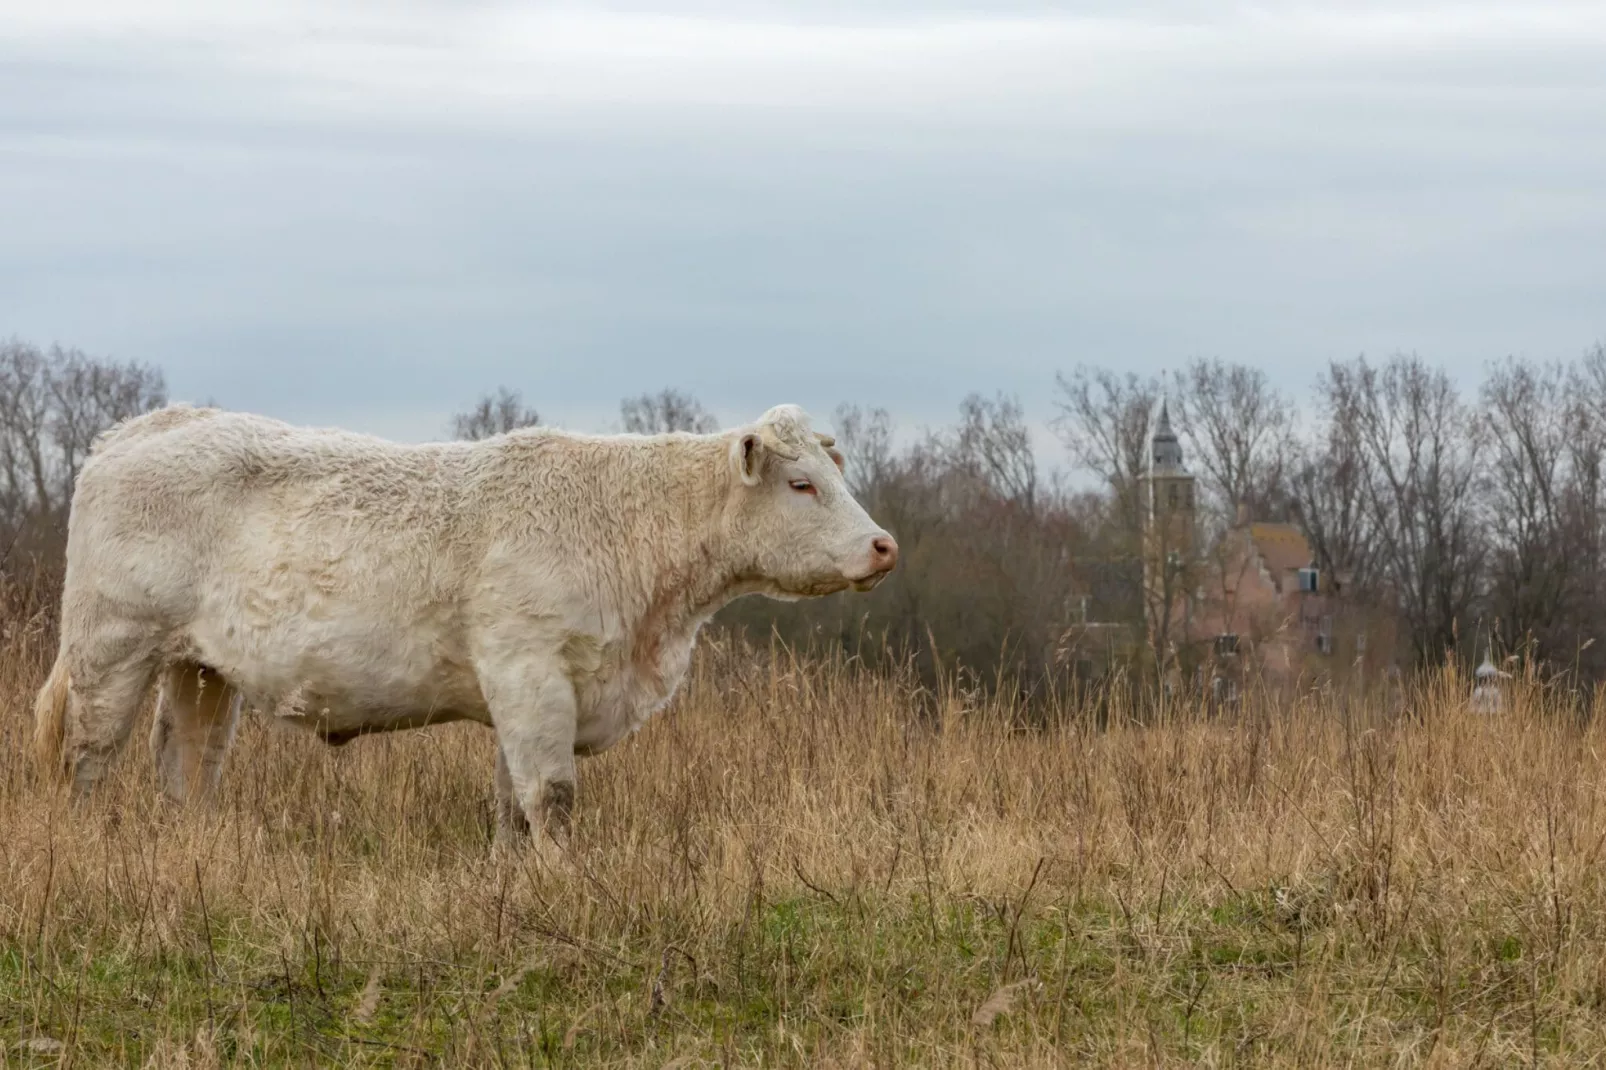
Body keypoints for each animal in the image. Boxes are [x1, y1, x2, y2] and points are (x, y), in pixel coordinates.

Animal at [31, 400, 899, 841]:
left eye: (832, 474)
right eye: (800, 485)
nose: (883, 545)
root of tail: (149, 424)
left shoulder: (529, 692)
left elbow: (513, 800)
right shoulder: (528, 668)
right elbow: (551, 795)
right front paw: (565, 882)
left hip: (202, 668)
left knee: (188, 764)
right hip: (112, 648)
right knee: (87, 757)